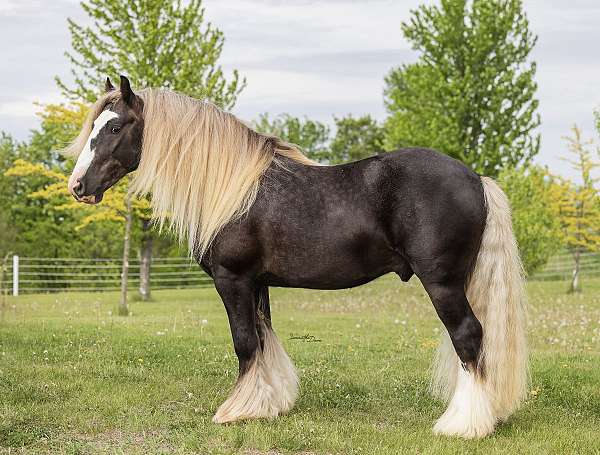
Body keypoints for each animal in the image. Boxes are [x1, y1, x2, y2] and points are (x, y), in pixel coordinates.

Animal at [63, 76, 528, 440]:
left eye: (115, 126)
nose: (78, 185)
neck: (234, 190)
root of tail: (476, 178)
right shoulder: (257, 283)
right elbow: (264, 339)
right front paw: (267, 404)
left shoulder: (232, 279)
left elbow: (245, 342)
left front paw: (235, 411)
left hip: (442, 282)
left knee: (467, 335)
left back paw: (463, 425)